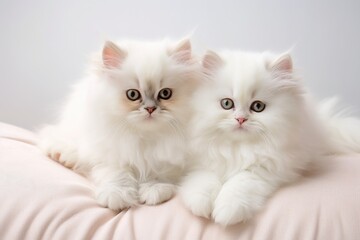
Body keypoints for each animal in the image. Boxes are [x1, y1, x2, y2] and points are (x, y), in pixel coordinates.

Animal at [39, 37, 202, 210]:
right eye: (132, 95)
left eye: (165, 93)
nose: (150, 109)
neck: (145, 138)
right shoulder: (110, 155)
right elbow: (118, 174)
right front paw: (116, 196)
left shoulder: (173, 160)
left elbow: (160, 172)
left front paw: (154, 190)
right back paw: (62, 155)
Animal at [180, 49, 360, 226]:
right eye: (226, 104)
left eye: (258, 106)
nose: (240, 119)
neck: (239, 148)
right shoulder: (202, 163)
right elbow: (204, 181)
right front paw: (200, 204)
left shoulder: (263, 170)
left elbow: (239, 184)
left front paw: (227, 211)